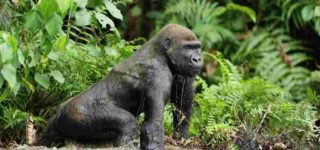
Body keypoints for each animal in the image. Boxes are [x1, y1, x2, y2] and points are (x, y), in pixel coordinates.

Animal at [42, 24, 202, 149]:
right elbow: (152, 127)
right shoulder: (157, 73)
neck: (161, 51)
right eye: (188, 47)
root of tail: (59, 112)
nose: (197, 59)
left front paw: (182, 137)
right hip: (76, 113)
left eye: (197, 47)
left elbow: (182, 106)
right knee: (127, 123)